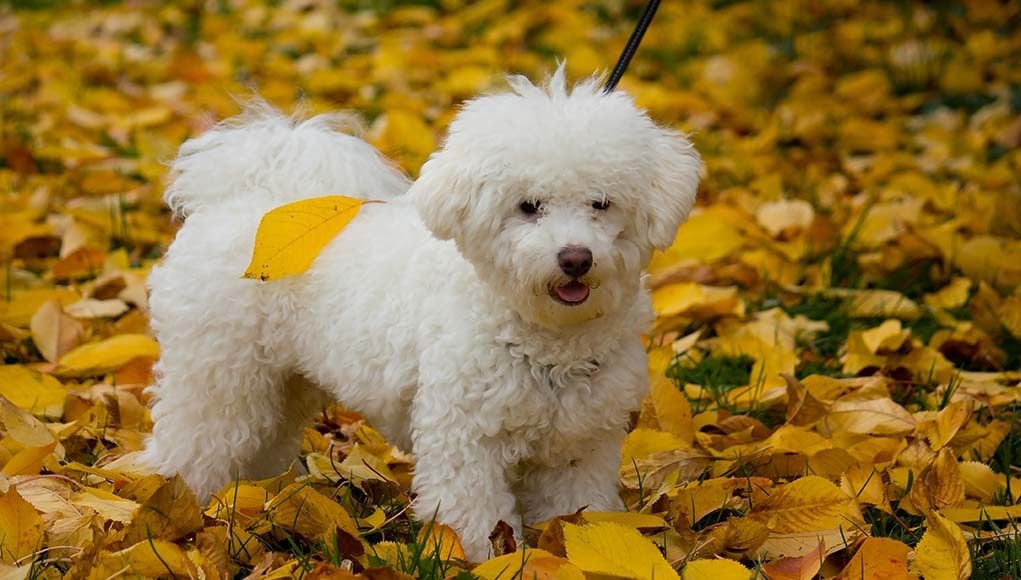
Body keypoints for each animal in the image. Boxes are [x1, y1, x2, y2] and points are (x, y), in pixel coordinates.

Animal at [141, 68, 702, 563]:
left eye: (601, 203)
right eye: (528, 206)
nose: (575, 258)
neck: (544, 338)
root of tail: (247, 198)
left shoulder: (580, 445)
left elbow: (574, 512)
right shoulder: (465, 437)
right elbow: (474, 513)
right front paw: (481, 559)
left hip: (279, 388)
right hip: (217, 376)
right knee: (191, 443)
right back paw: (171, 508)